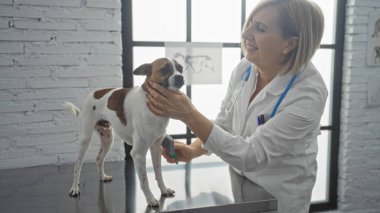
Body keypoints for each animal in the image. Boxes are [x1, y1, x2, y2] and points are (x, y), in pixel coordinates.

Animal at [63, 57, 184, 206]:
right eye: (165, 69)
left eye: (180, 68)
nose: (181, 77)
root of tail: (93, 94)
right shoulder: (138, 154)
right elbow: (144, 180)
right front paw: (150, 199)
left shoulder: (156, 148)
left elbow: (158, 173)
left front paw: (164, 189)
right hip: (85, 139)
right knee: (77, 165)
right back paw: (74, 188)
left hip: (108, 138)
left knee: (99, 158)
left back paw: (102, 177)